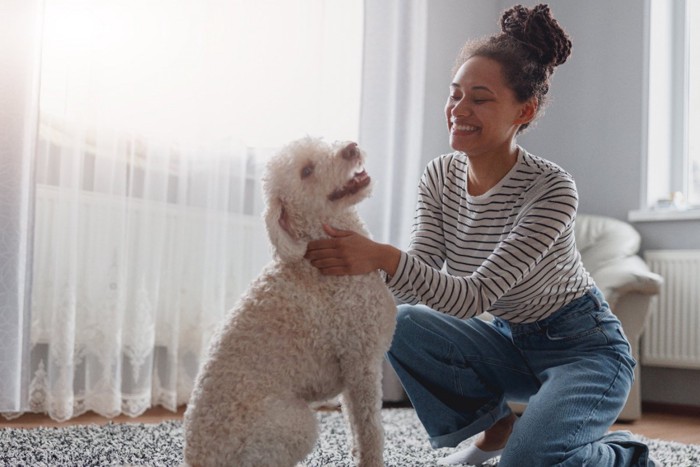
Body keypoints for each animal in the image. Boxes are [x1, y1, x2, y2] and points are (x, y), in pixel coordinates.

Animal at [183, 137, 396, 466]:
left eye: (323, 144)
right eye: (306, 171)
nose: (350, 147)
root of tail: (198, 458)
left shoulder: (351, 374)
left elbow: (354, 423)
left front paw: (356, 453)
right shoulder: (361, 362)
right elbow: (371, 428)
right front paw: (371, 459)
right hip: (294, 424)